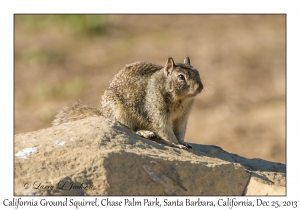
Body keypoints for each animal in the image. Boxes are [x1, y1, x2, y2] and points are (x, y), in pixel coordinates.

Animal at [54, 56, 204, 149]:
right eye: (181, 77)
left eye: (197, 72)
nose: (200, 88)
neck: (180, 99)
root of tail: (103, 114)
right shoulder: (157, 112)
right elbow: (165, 129)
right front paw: (177, 144)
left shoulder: (183, 117)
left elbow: (180, 131)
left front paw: (184, 142)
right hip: (120, 114)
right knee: (131, 129)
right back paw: (144, 132)